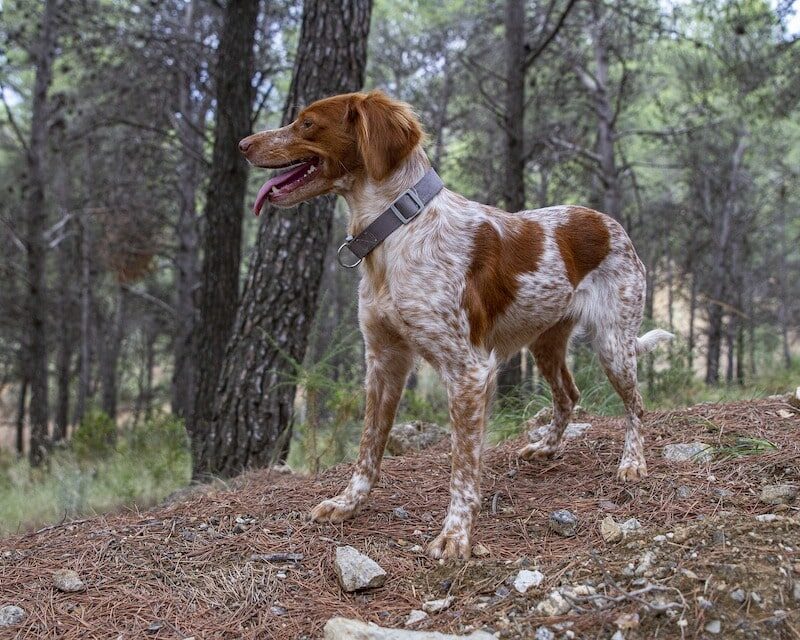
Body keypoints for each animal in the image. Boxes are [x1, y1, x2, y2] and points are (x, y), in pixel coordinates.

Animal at [239, 90, 676, 560]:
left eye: (307, 123)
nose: (242, 144)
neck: (397, 229)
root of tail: (609, 223)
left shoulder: (468, 370)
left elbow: (462, 466)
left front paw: (456, 533)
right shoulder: (384, 361)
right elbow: (369, 446)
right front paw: (348, 502)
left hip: (613, 344)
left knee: (636, 407)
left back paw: (632, 463)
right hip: (545, 342)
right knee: (569, 395)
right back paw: (546, 446)